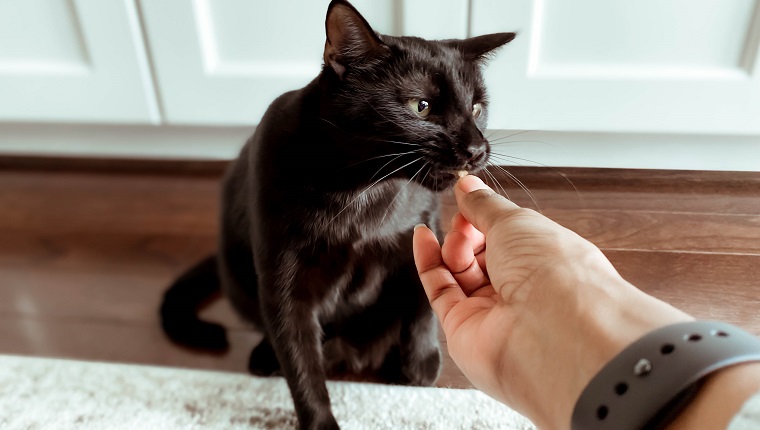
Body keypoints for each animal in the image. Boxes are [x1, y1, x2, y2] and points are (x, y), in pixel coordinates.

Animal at [163, 1, 512, 428]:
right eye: (421, 107)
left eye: (477, 107)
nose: (477, 149)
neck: (363, 191)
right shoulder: (284, 284)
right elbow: (301, 365)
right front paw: (320, 420)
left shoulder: (424, 227)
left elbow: (422, 303)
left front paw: (419, 364)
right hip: (238, 274)